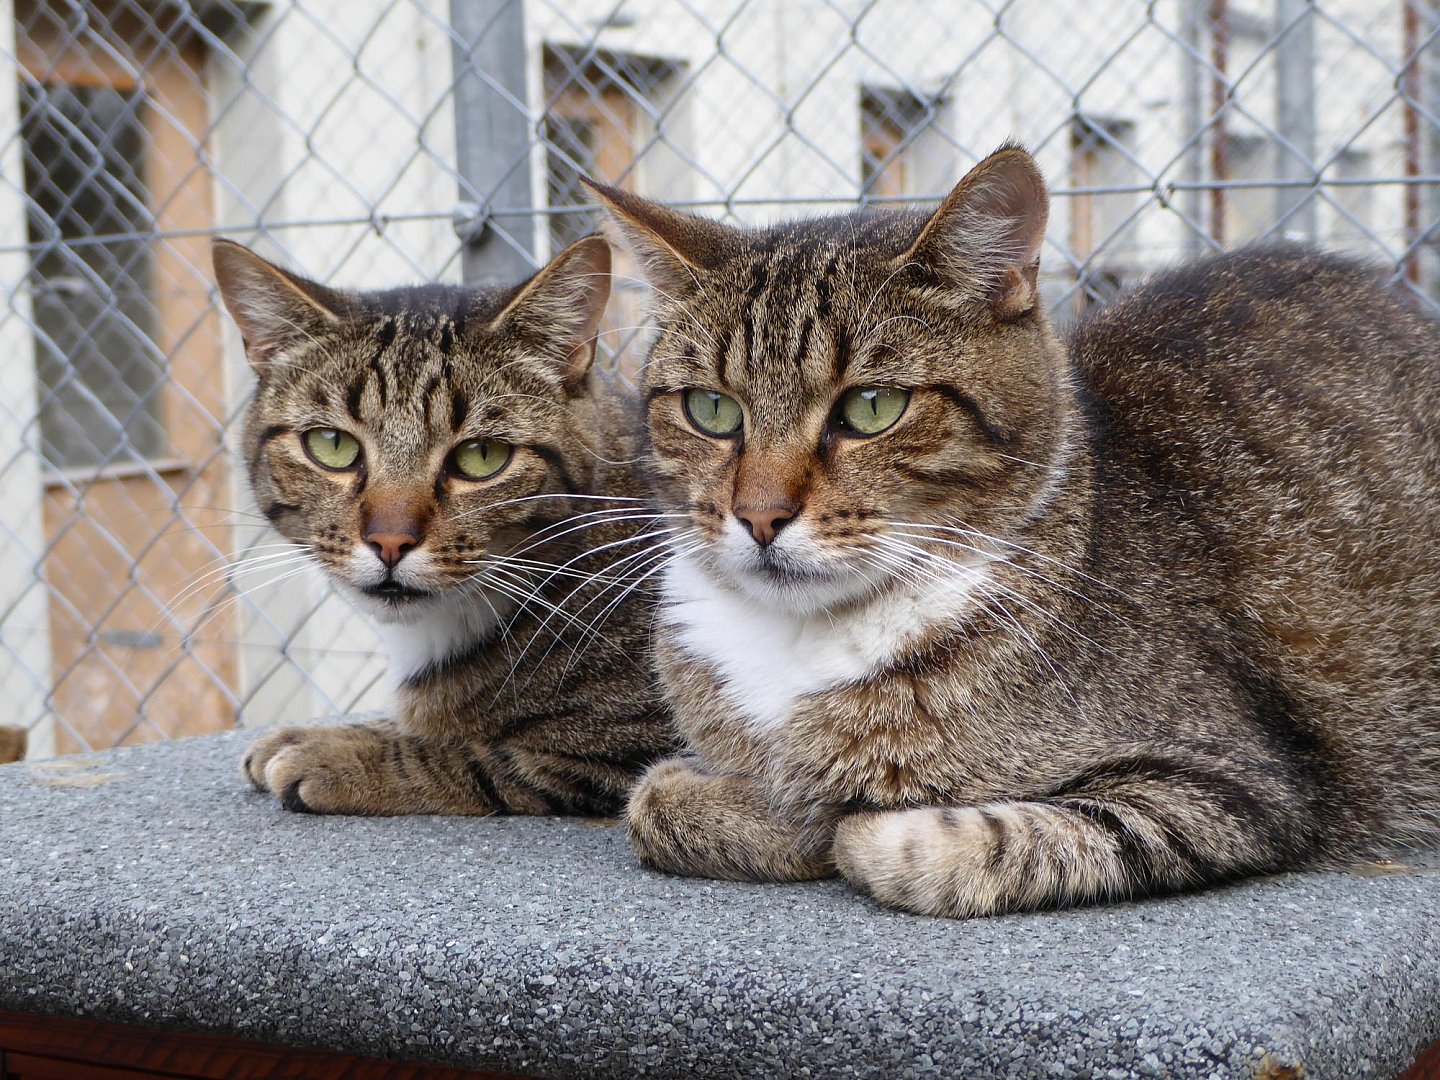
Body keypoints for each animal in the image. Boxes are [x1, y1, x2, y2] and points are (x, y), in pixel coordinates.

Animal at [213, 234, 673, 812]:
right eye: (332, 445)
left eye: (481, 456)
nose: (389, 541)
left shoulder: (626, 749)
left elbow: (470, 755)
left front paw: (337, 753)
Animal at [581, 144, 1440, 915]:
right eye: (711, 410)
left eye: (871, 408)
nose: (759, 515)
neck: (797, 643)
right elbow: (652, 803)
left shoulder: (1228, 783)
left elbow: (935, 839)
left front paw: (827, 821)